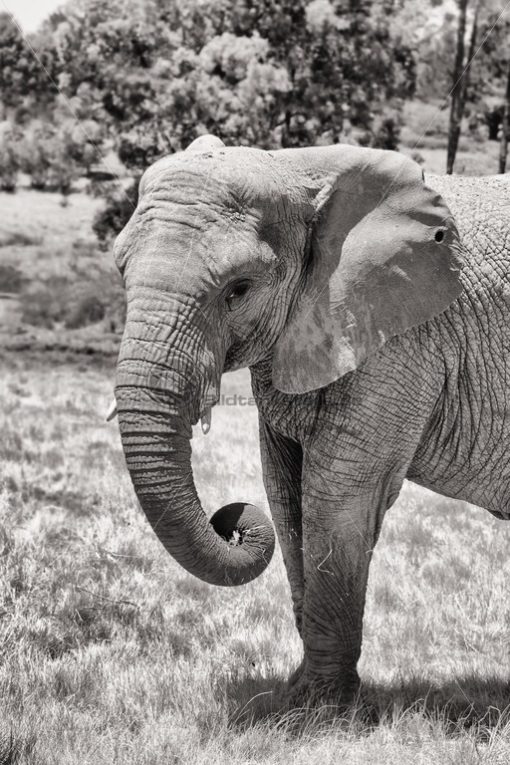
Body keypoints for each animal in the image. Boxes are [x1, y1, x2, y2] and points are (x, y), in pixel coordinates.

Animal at [112, 136, 510, 704]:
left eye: (238, 289)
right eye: (121, 270)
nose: (230, 522)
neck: (295, 169)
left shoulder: (401, 340)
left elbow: (339, 496)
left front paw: (322, 708)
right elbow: (284, 494)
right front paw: (294, 694)